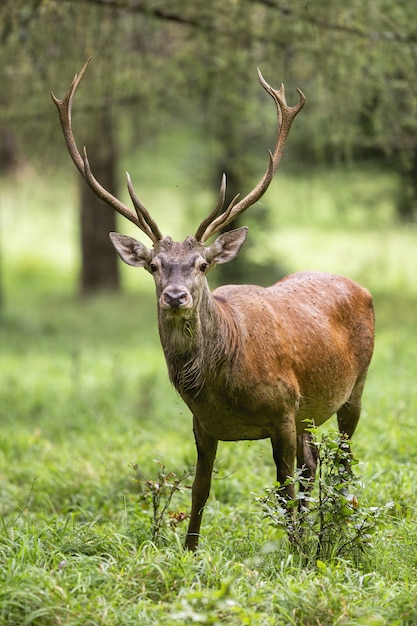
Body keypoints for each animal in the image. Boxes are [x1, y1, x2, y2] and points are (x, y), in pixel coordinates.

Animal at [52, 57, 374, 544]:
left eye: (203, 264)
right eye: (153, 265)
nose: (175, 296)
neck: (221, 384)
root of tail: (360, 287)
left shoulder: (283, 410)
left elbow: (283, 490)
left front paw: (295, 550)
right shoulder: (203, 424)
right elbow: (199, 492)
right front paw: (188, 551)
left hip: (354, 387)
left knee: (342, 461)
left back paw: (337, 521)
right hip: (311, 412)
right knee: (314, 462)